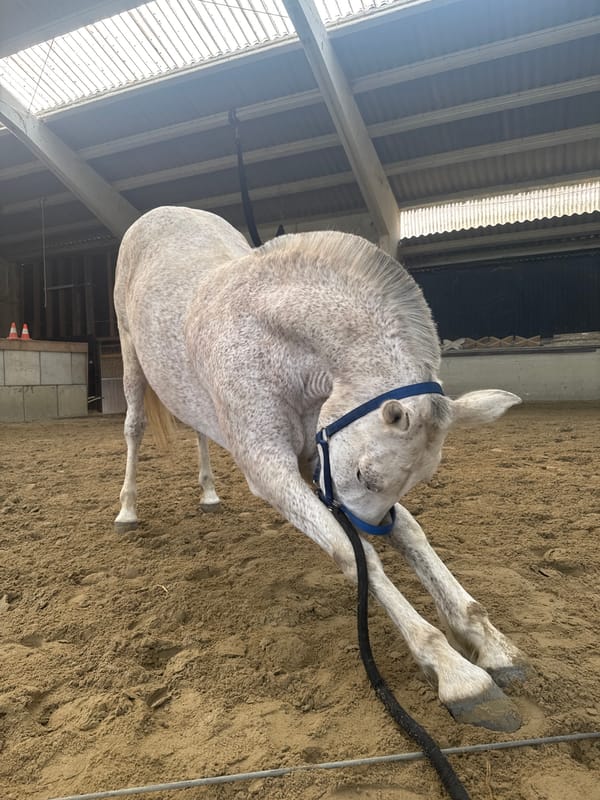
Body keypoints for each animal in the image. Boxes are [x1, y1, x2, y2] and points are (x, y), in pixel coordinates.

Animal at [113, 205, 527, 734]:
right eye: (366, 476)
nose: (370, 525)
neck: (272, 342)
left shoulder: (319, 461)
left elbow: (411, 534)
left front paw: (489, 642)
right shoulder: (272, 470)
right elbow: (355, 555)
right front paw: (457, 672)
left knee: (198, 430)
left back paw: (208, 495)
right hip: (131, 361)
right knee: (134, 427)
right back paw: (127, 511)